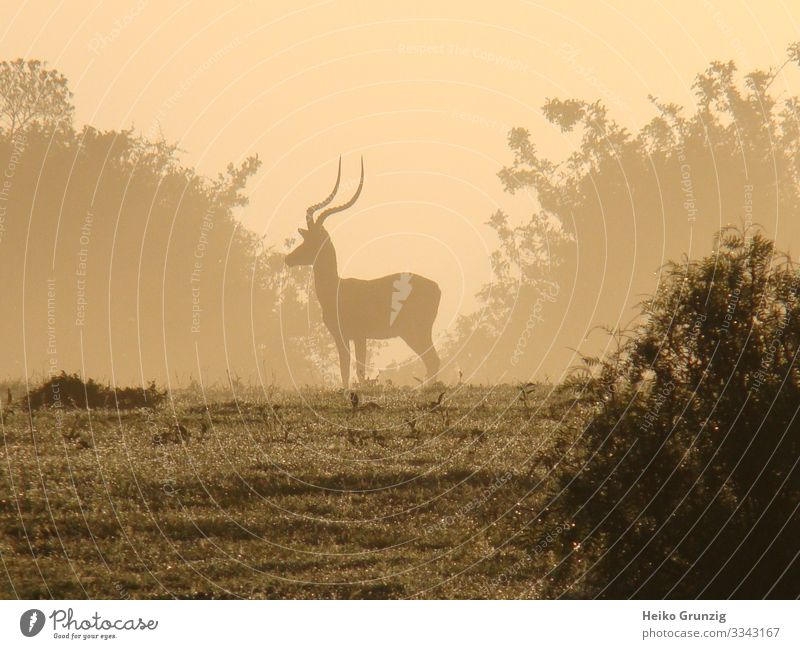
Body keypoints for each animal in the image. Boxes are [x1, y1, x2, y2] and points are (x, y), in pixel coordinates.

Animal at [284, 158, 440, 388]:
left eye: (310, 240)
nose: (288, 259)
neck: (335, 289)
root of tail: (437, 287)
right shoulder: (347, 337)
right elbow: (347, 369)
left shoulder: (357, 335)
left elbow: (354, 370)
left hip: (414, 332)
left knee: (433, 360)